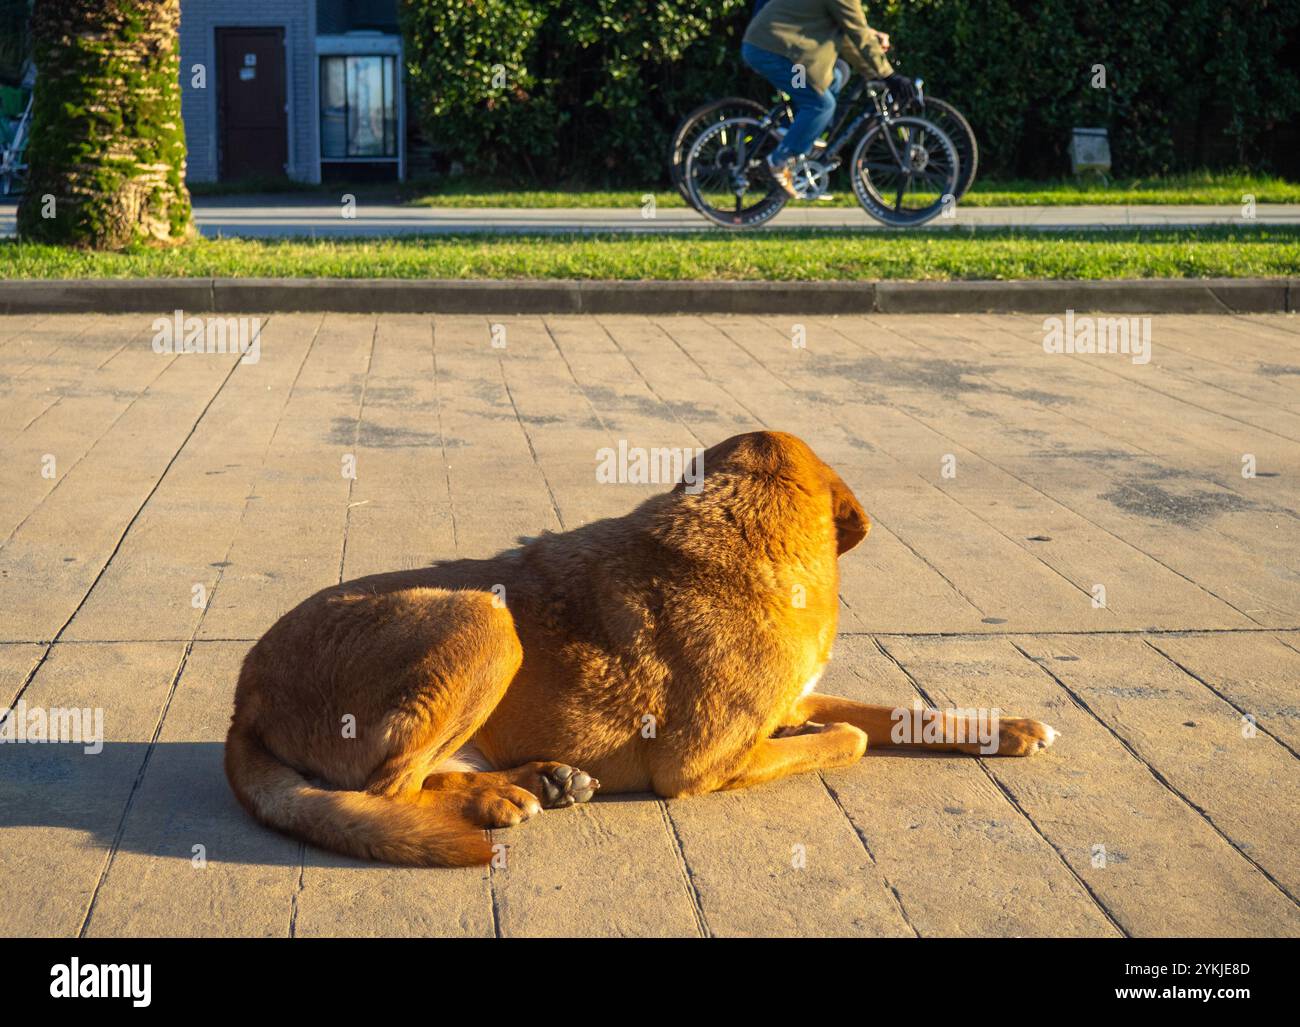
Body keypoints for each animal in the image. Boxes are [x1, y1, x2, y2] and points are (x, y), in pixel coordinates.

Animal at [226, 434, 1055, 868]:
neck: (741, 534)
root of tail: (244, 697)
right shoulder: (703, 764)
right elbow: (849, 734)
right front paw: (829, 735)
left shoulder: (796, 694)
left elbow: (900, 709)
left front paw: (1007, 728)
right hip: (486, 619)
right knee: (387, 787)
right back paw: (498, 799)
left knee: (421, 774)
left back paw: (544, 779)